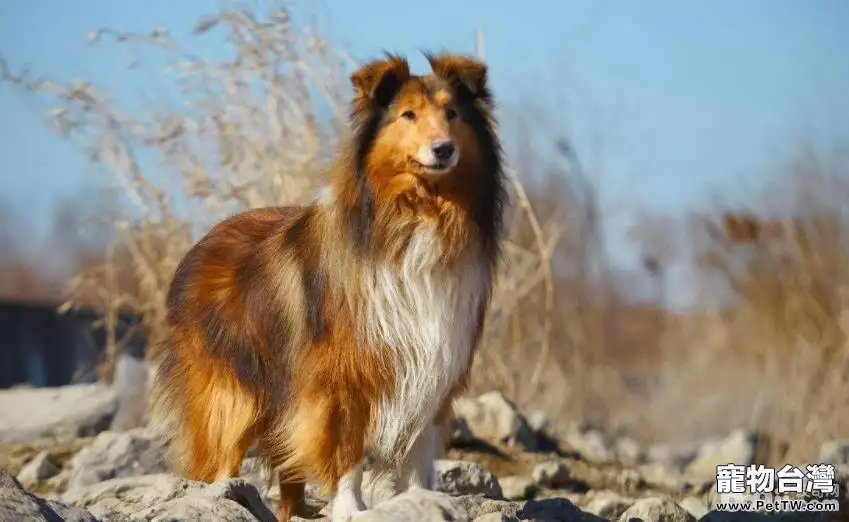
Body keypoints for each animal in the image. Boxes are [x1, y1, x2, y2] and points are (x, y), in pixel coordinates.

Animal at [148, 50, 504, 516]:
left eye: (453, 114)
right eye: (408, 115)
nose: (443, 149)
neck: (417, 217)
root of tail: (201, 243)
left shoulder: (434, 366)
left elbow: (419, 453)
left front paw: (423, 500)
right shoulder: (341, 378)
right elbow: (346, 451)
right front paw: (351, 508)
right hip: (232, 398)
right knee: (219, 460)